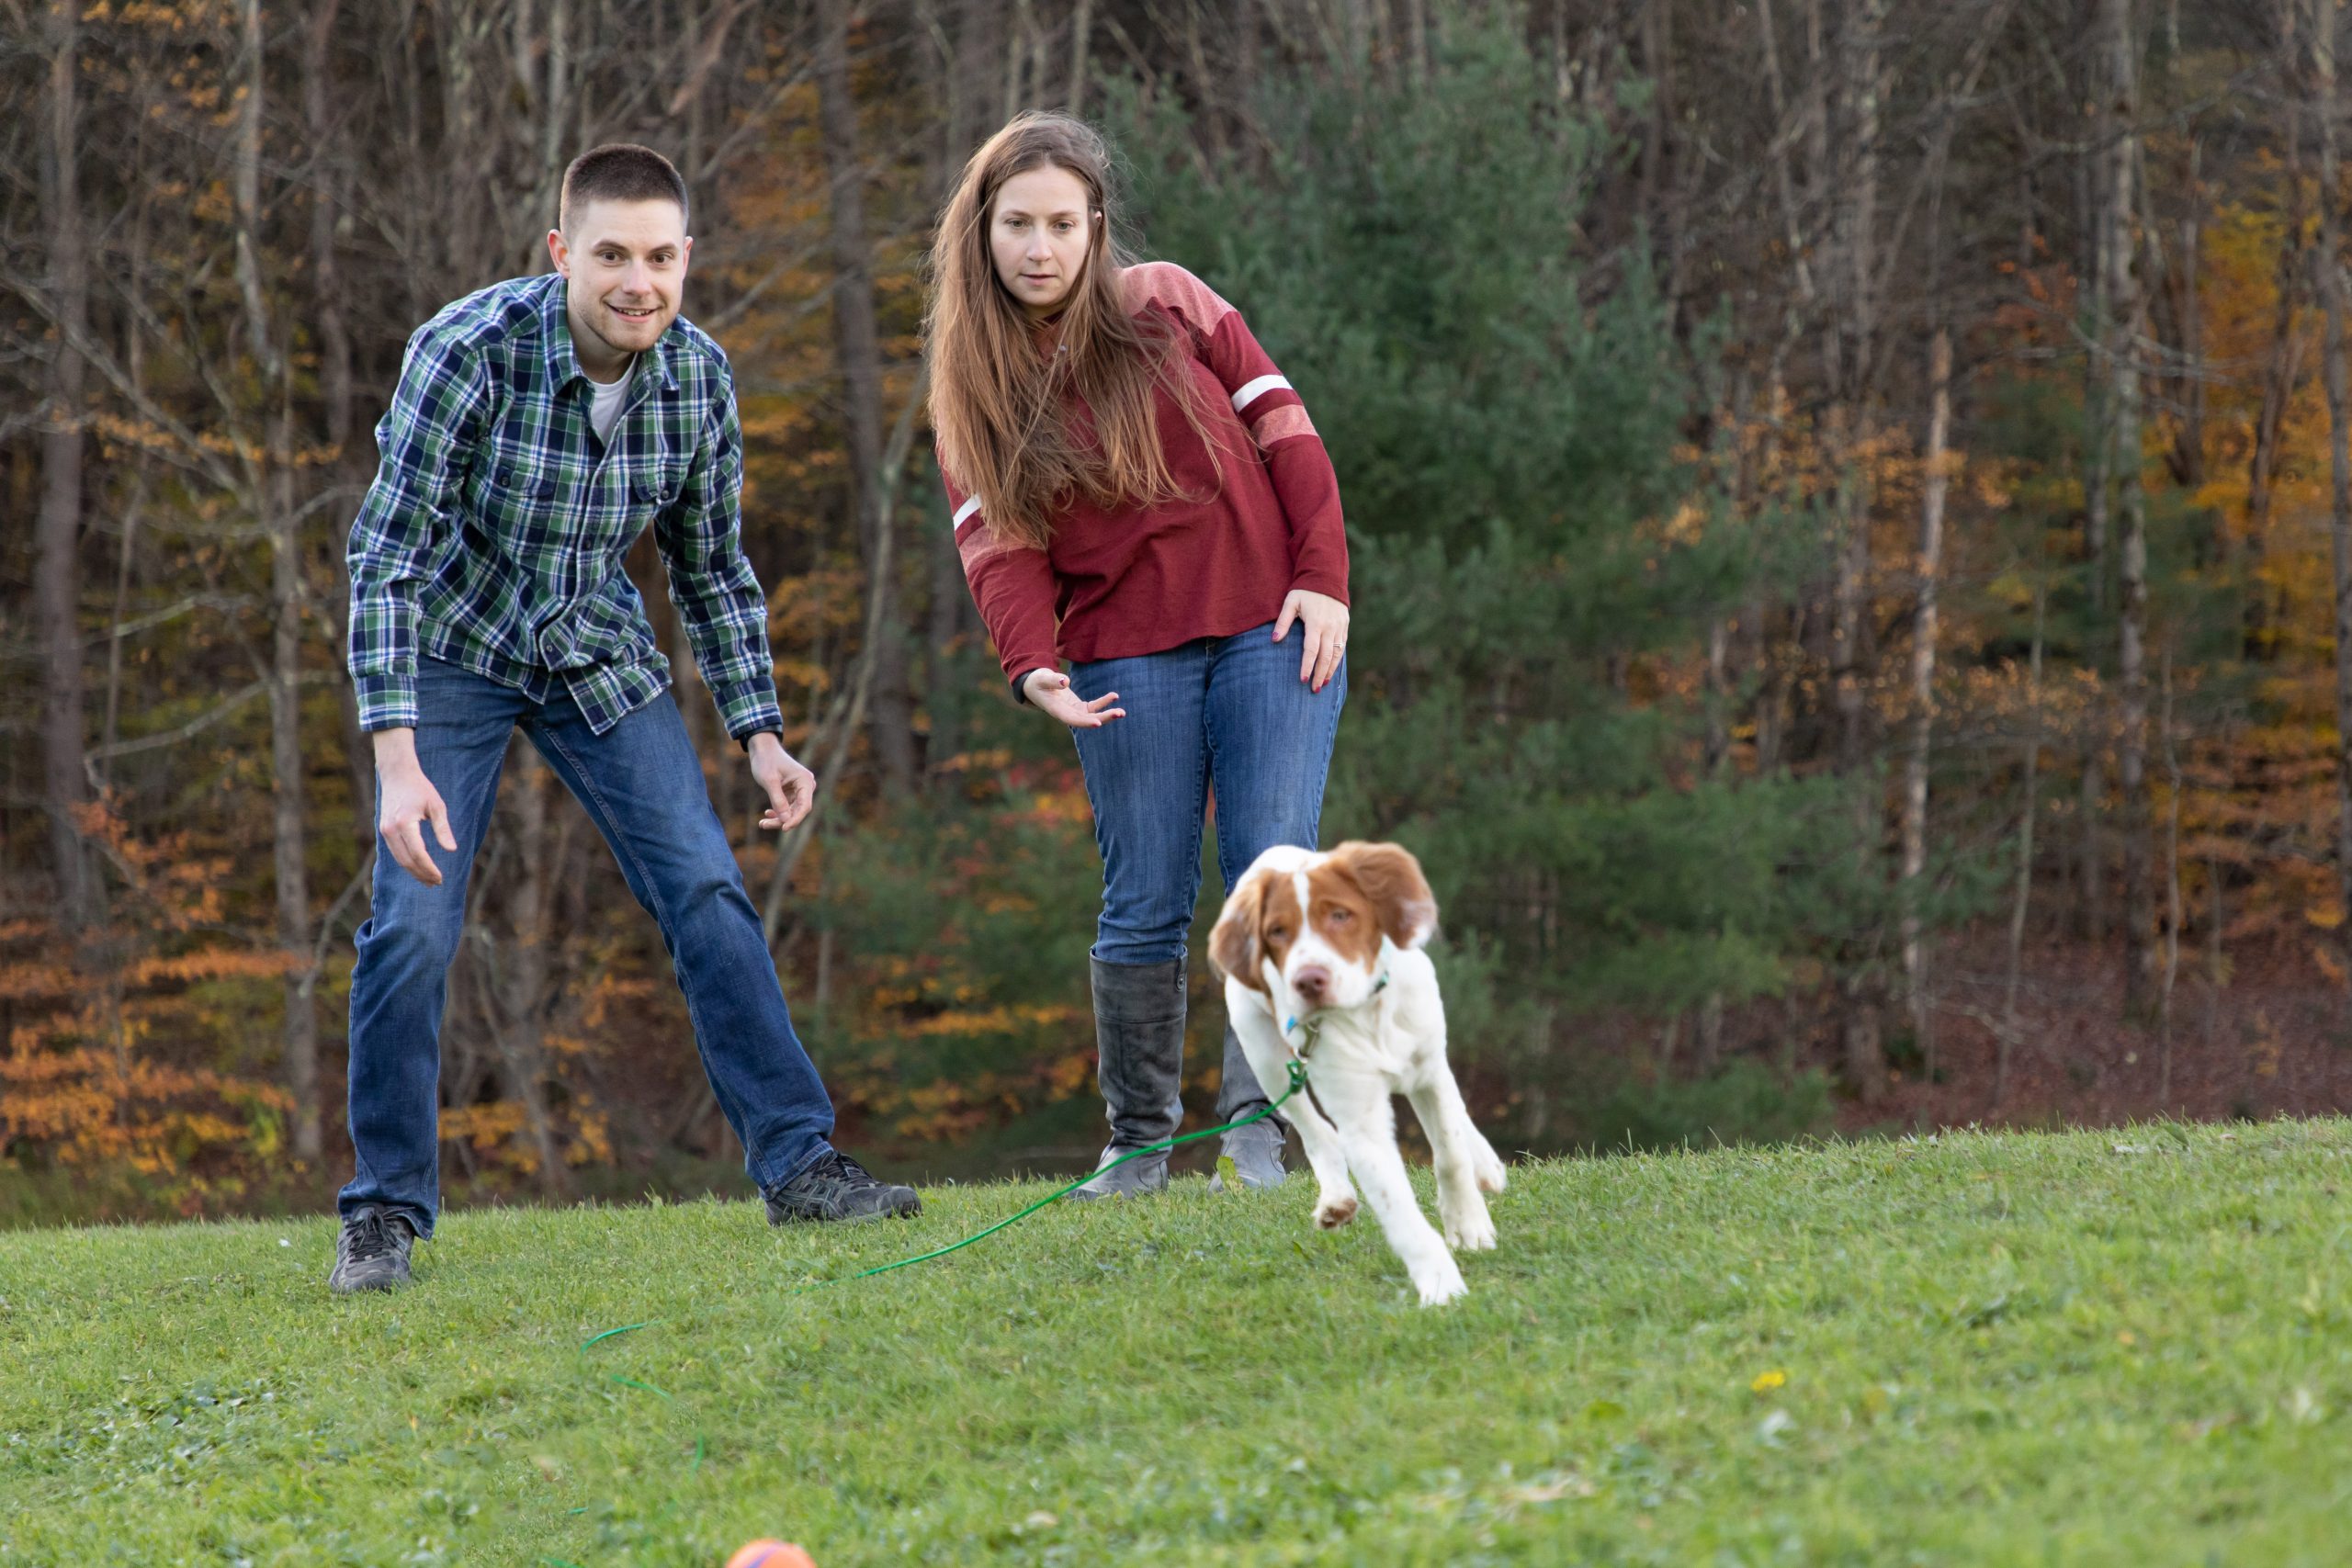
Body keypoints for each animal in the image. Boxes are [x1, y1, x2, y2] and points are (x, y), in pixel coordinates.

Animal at [1209, 841, 1506, 1306]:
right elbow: (1399, 1210)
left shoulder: (1429, 1072)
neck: (1365, 1011)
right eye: (1276, 932)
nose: (1308, 981)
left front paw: (1469, 1227)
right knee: (1316, 1131)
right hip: (1263, 1053)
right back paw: (1337, 1198)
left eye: (1340, 915)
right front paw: (1441, 1286)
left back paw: (1486, 1165)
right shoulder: (1361, 1121)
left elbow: (1450, 1153)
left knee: (1458, 1115)